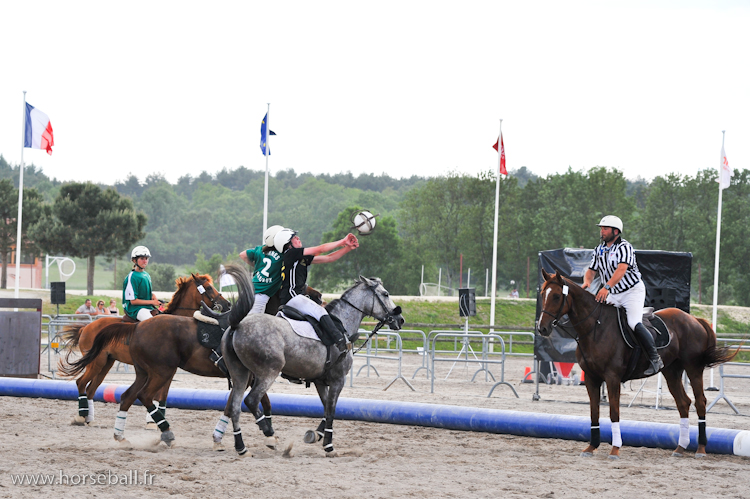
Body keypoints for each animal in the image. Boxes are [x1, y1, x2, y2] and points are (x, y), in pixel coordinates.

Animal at [60, 273, 231, 424]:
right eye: (209, 287)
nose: (228, 304)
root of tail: (86, 327)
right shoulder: (162, 370)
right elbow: (157, 395)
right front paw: (152, 420)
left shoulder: (168, 370)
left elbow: (163, 395)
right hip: (96, 362)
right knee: (81, 383)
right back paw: (81, 417)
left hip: (106, 363)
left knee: (91, 389)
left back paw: (88, 417)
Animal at [218, 264, 404, 457]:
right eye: (385, 294)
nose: (400, 320)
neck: (342, 324)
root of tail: (238, 325)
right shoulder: (338, 380)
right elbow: (331, 411)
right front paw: (329, 445)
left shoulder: (321, 382)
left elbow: (326, 408)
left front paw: (318, 435)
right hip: (268, 373)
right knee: (251, 400)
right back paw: (269, 434)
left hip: (240, 374)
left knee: (235, 407)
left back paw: (241, 447)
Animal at [537, 270, 738, 459]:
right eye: (542, 294)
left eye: (556, 296)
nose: (542, 328)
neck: (595, 327)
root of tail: (694, 319)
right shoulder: (592, 378)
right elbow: (594, 412)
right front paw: (591, 447)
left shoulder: (612, 378)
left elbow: (614, 412)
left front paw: (615, 449)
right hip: (671, 371)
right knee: (683, 403)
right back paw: (680, 448)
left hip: (693, 368)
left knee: (700, 402)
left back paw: (701, 448)